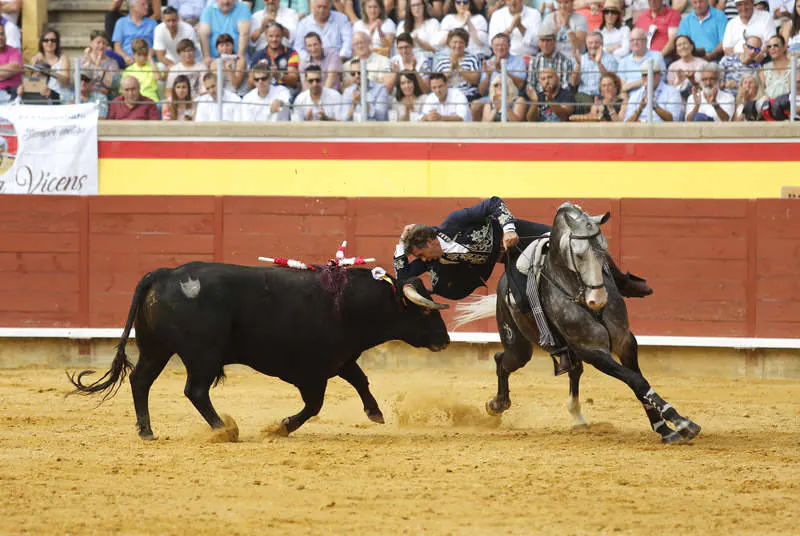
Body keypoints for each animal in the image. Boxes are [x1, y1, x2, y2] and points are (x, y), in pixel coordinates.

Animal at [69, 260, 450, 440]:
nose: (445, 340)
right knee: (195, 390)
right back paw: (223, 429)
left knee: (141, 382)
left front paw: (375, 413)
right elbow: (314, 405)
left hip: (155, 347)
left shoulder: (340, 359)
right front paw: (281, 427)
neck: (348, 302)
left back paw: (146, 430)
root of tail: (164, 273)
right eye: (425, 312)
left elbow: (360, 380)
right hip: (203, 354)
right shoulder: (311, 372)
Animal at [456, 202, 700, 444]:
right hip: (518, 345)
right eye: (579, 255)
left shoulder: (625, 342)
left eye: (604, 252)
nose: (598, 300)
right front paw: (683, 424)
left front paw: (664, 428)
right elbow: (636, 381)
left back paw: (576, 417)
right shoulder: (591, 350)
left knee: (572, 370)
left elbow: (639, 382)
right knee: (502, 359)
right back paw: (497, 404)